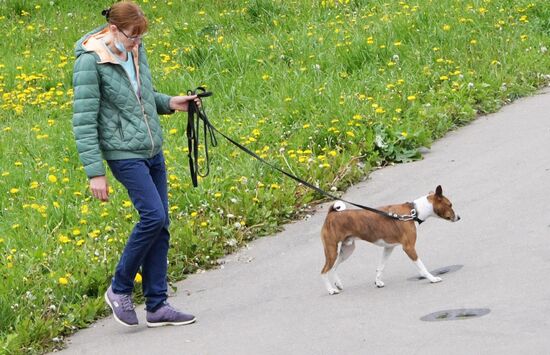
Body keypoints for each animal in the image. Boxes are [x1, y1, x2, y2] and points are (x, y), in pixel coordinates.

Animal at [322, 186, 460, 294]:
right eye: (450, 205)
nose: (459, 217)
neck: (413, 212)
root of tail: (331, 214)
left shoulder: (388, 247)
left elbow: (381, 267)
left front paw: (378, 282)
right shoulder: (409, 247)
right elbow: (422, 267)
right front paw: (432, 278)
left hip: (347, 250)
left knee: (333, 268)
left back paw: (338, 284)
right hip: (332, 251)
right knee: (324, 271)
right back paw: (331, 290)